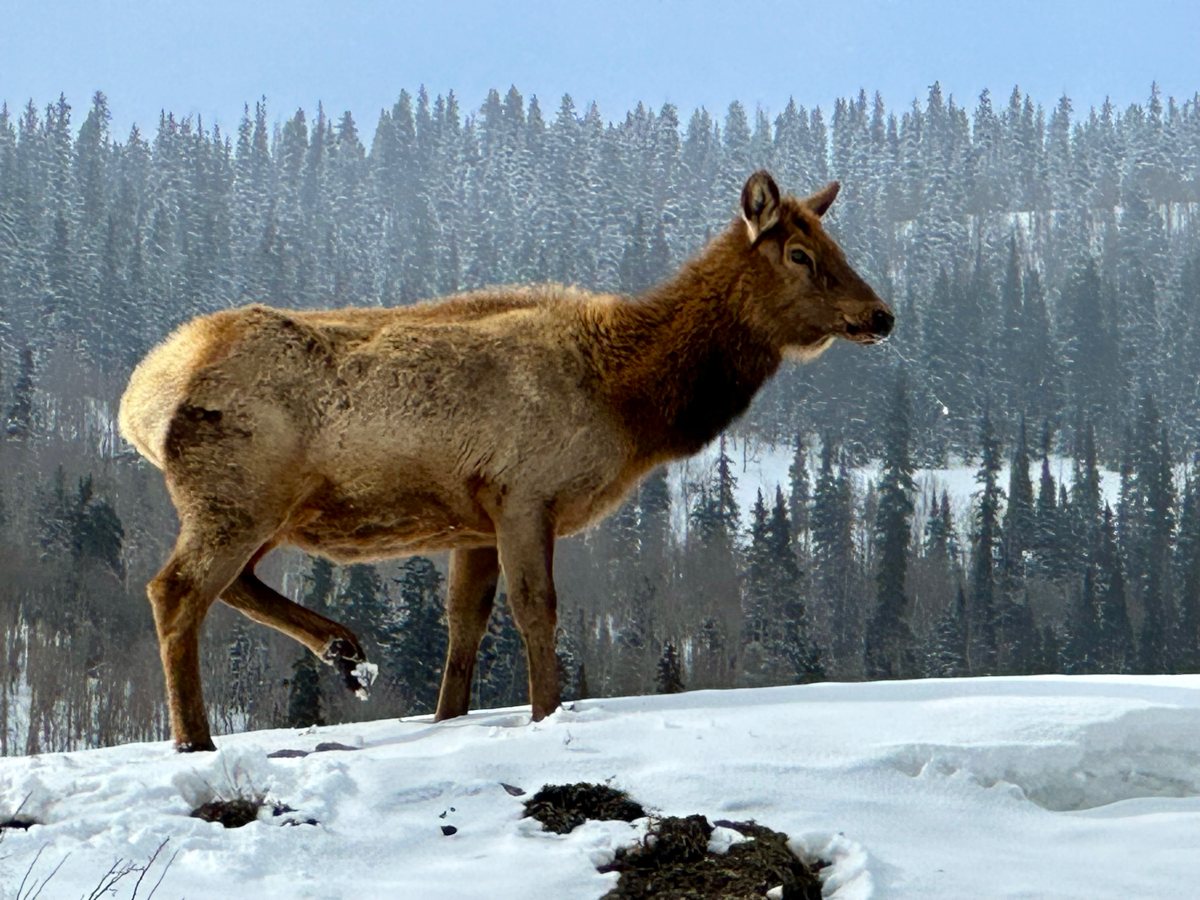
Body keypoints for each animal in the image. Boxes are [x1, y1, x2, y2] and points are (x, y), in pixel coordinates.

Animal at [118, 171, 893, 752]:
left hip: (266, 507)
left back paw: (345, 651)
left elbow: (466, 624)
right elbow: (536, 609)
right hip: (236, 495)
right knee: (175, 591)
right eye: (799, 254)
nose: (881, 314)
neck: (629, 402)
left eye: (835, 240)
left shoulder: (474, 519)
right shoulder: (525, 490)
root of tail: (139, 402)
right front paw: (546, 713)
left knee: (229, 585)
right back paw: (196, 738)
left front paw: (447, 717)